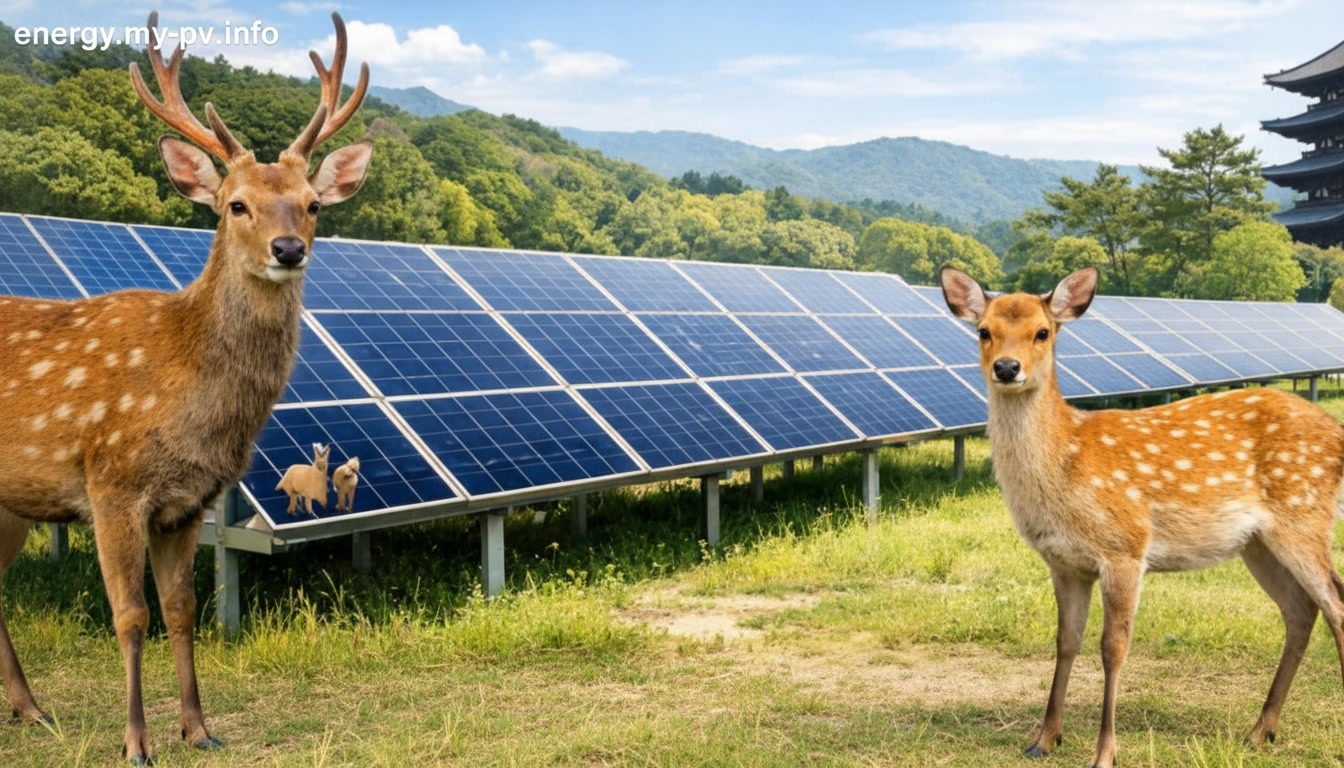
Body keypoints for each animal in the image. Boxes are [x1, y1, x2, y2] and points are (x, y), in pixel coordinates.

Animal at [0, 11, 371, 764]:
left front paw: (198, 727)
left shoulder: (186, 502)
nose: (289, 249)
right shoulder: (111, 484)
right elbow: (130, 615)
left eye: (314, 204)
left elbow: (181, 609)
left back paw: (30, 708)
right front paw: (136, 740)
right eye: (236, 205)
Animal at [940, 266, 1344, 768]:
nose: (1007, 368)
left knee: (1335, 605)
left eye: (1042, 332)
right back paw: (1259, 732)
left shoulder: (1125, 546)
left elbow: (1113, 648)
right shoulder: (1064, 563)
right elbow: (1065, 641)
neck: (1066, 463)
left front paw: (1104, 753)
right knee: (1301, 610)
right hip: (1258, 543)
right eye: (983, 331)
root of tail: (1338, 434)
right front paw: (1043, 738)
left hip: (1304, 515)